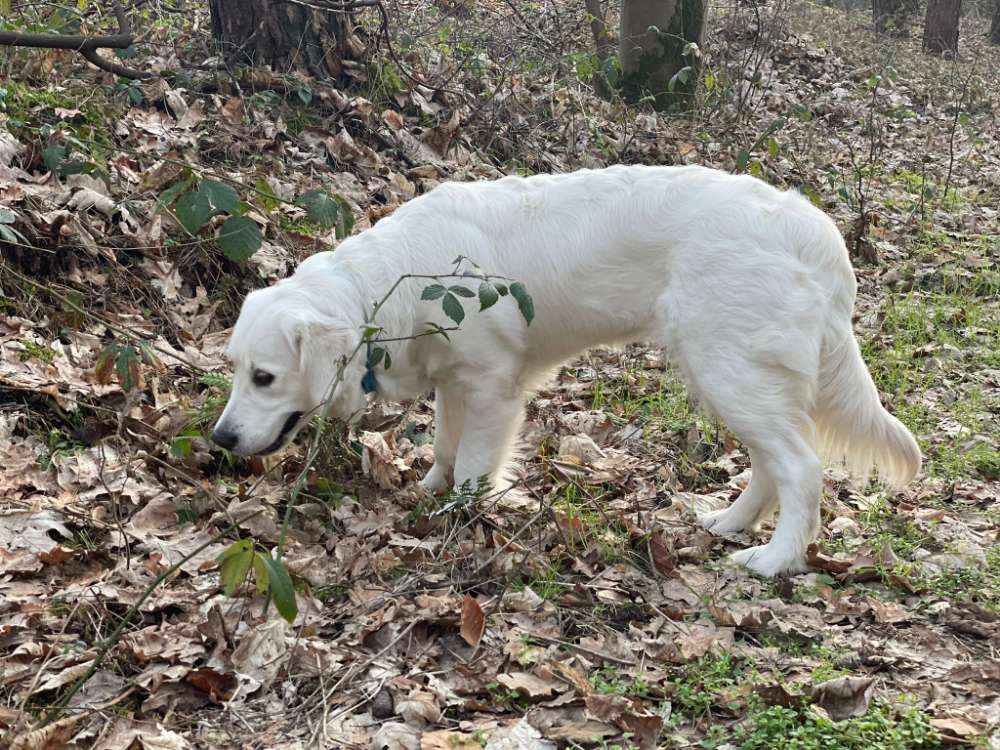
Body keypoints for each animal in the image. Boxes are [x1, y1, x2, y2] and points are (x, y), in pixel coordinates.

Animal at [213, 164, 920, 576]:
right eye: (235, 369)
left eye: (265, 377)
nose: (220, 439)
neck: (392, 282)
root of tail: (817, 230)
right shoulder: (455, 379)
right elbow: (444, 445)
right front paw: (428, 489)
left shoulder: (493, 386)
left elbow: (473, 466)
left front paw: (458, 521)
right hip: (733, 375)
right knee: (774, 463)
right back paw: (730, 524)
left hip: (730, 368)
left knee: (800, 468)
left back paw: (775, 560)